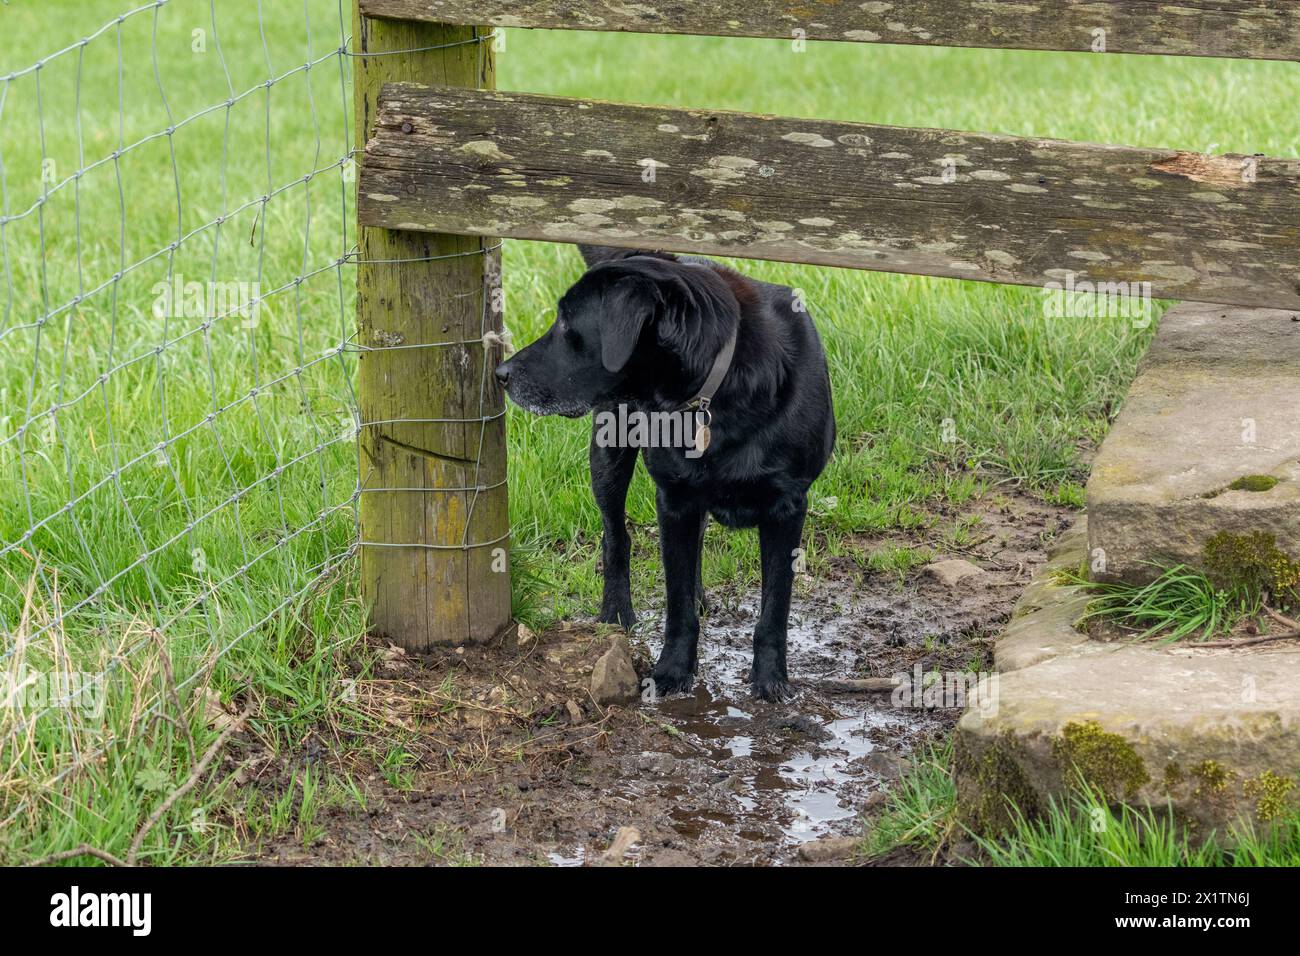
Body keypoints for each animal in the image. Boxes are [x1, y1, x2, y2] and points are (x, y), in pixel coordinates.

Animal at [491, 243, 837, 697]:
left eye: (566, 321)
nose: (501, 374)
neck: (716, 389)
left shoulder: (788, 506)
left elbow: (775, 606)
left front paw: (770, 679)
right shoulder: (673, 500)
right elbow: (676, 602)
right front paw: (673, 669)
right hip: (609, 451)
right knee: (615, 537)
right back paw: (616, 612)